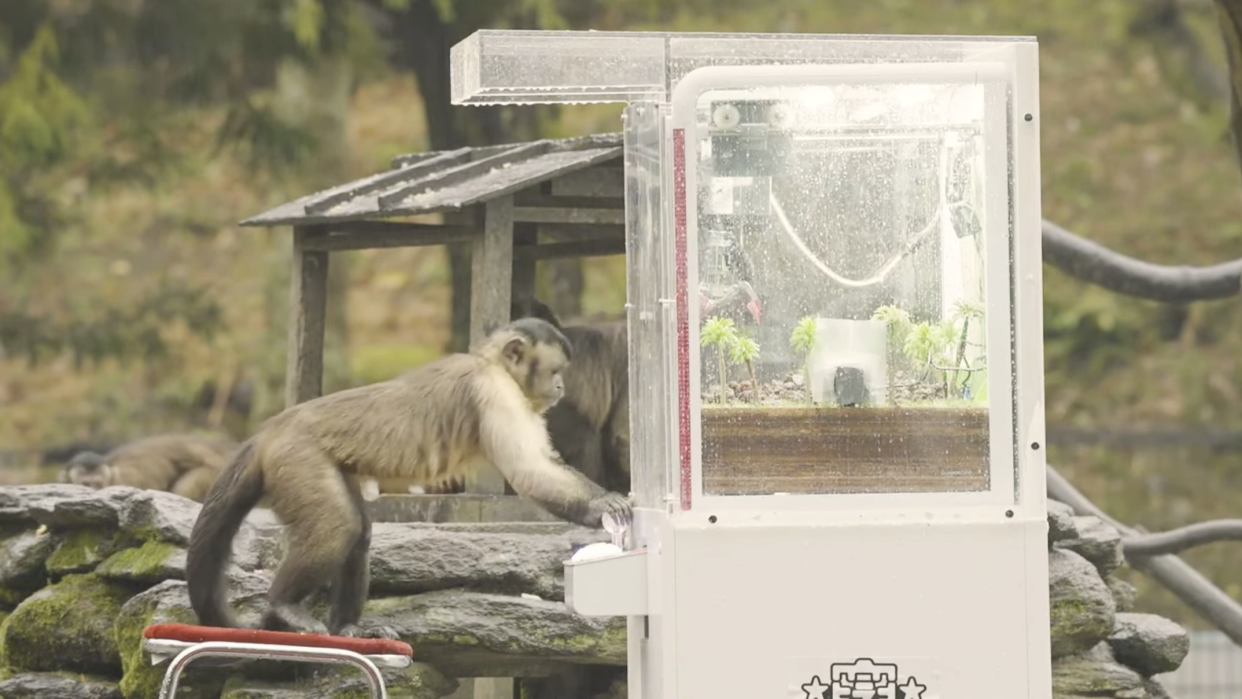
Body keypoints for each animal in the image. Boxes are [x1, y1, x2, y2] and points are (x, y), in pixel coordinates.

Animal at [183, 317, 630, 640]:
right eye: (555, 370)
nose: (560, 385)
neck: (490, 364)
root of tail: (269, 431)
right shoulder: (495, 392)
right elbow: (529, 471)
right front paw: (603, 504)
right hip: (297, 457)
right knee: (338, 526)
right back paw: (283, 606)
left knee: (358, 531)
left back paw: (344, 628)